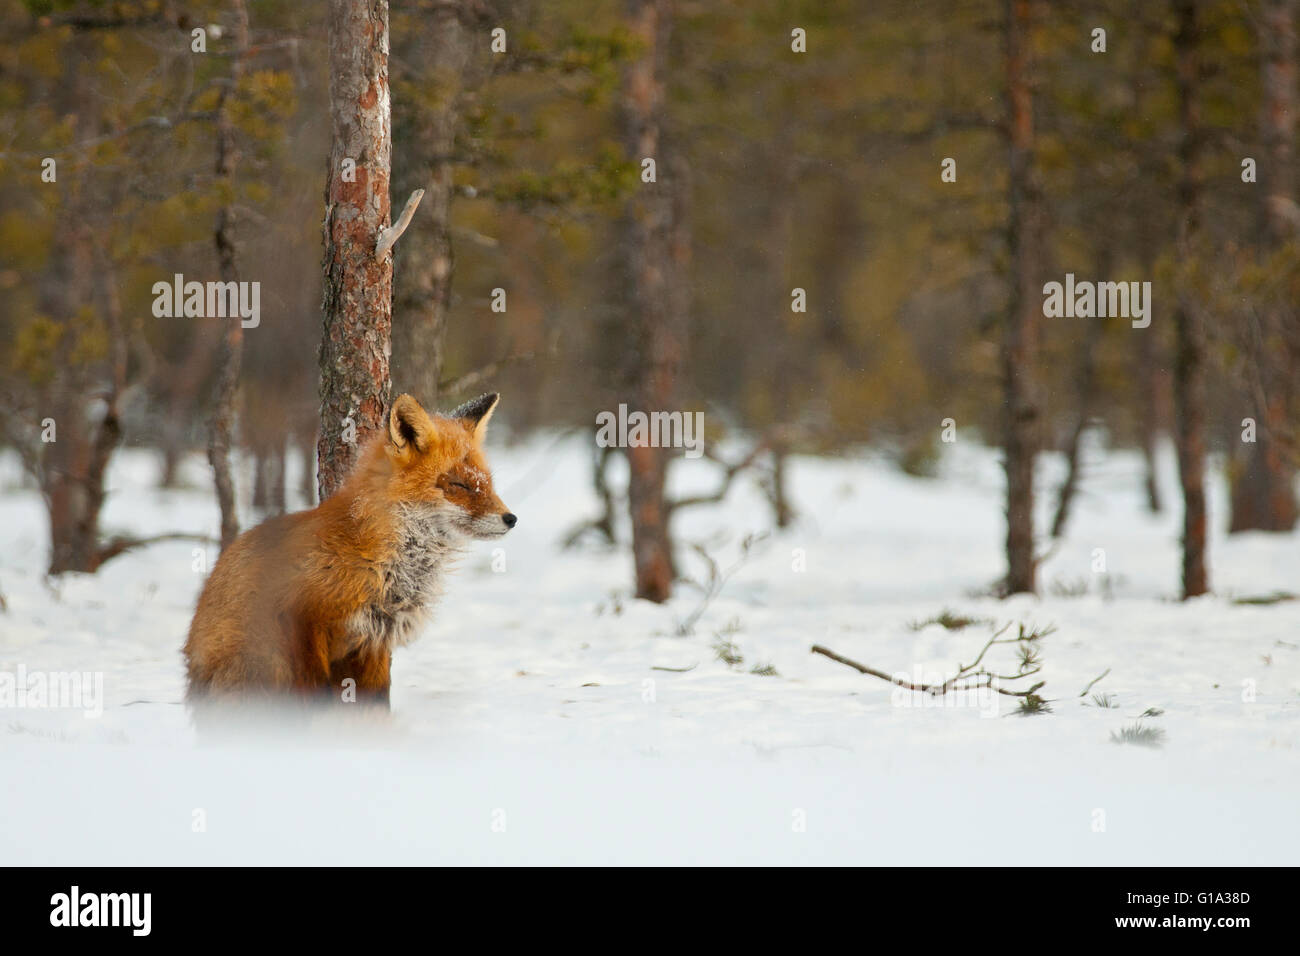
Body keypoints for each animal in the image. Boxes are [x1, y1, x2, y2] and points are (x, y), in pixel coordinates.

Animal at [183, 392, 515, 713]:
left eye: (488, 484)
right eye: (459, 484)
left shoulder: (372, 641)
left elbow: (374, 702)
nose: (511, 519)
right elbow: (314, 700)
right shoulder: (299, 620)